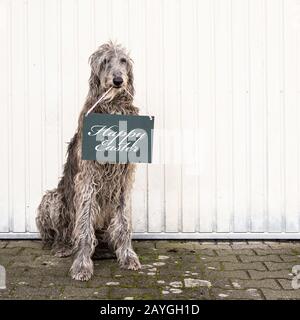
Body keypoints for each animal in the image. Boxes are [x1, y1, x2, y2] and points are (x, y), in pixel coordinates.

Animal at [35, 41, 141, 282]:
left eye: (123, 61)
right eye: (105, 61)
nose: (118, 80)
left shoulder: (124, 180)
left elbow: (124, 223)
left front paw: (127, 256)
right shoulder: (87, 179)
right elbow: (84, 225)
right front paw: (82, 265)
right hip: (53, 199)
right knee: (62, 231)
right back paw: (63, 246)